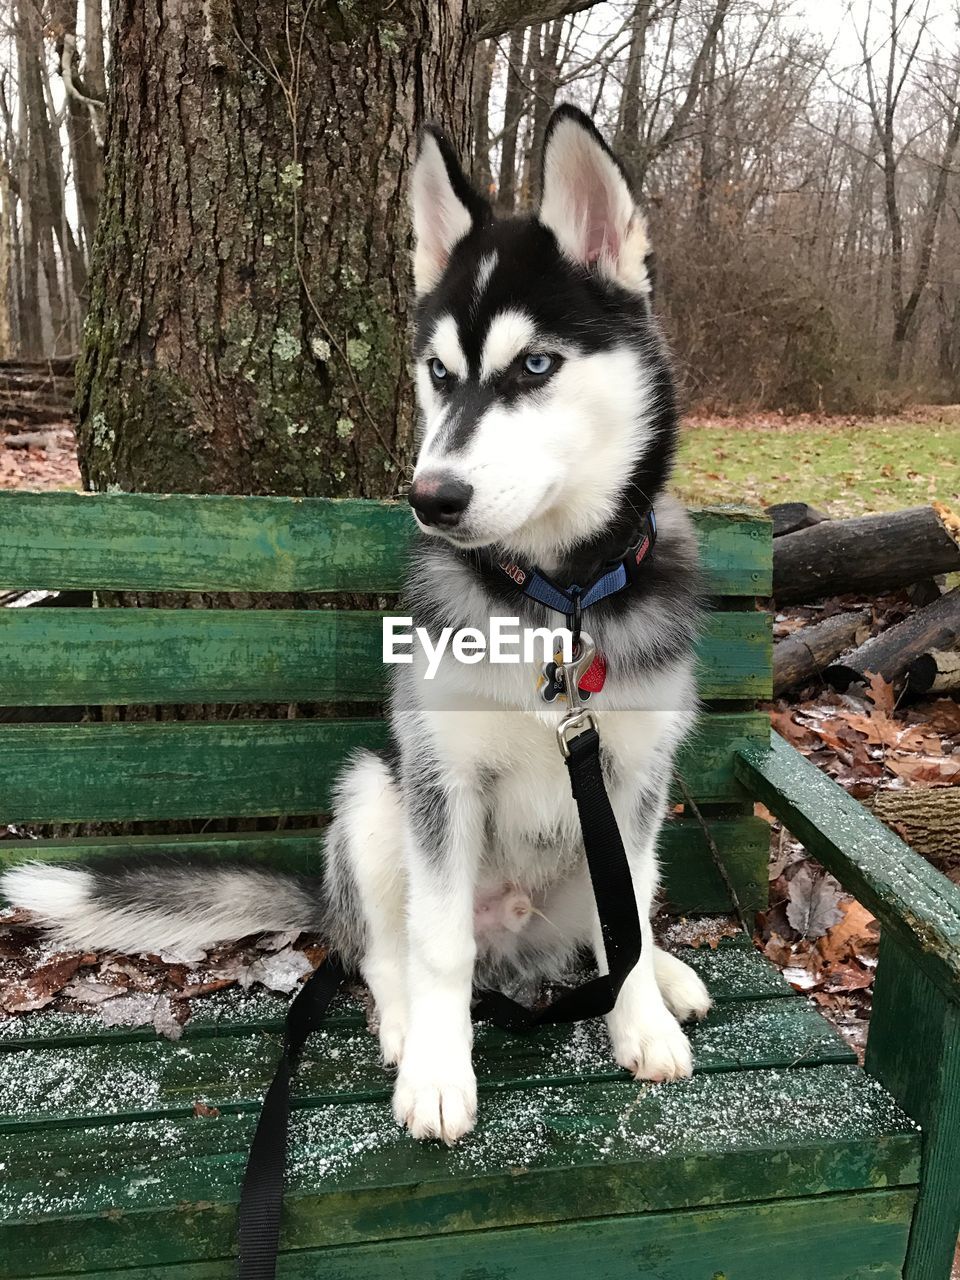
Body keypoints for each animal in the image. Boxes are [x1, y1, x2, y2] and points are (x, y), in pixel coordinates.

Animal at [3, 110, 711, 1146]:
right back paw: (409, 1019)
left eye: (536, 365)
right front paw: (440, 1072)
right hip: (375, 795)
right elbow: (438, 943)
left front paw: (642, 1017)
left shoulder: (634, 773)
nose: (433, 497)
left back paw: (663, 975)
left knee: (617, 914)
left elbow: (633, 912)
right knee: (385, 946)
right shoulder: (440, 779)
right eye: (439, 374)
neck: (556, 600)